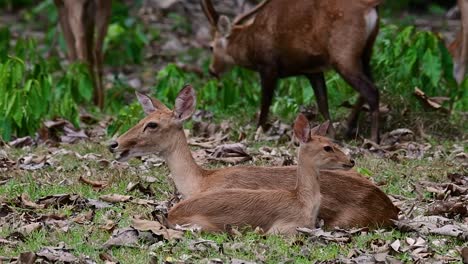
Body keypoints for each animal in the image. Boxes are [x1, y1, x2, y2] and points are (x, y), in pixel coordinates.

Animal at [166, 113, 352, 233]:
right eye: (327, 147)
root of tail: (170, 214)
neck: (302, 201)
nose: (351, 161)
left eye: (332, 142)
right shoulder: (283, 228)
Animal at [203, 0, 382, 142]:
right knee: (370, 87)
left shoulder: (268, 65)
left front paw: (257, 132)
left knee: (371, 90)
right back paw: (349, 128)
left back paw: (373, 140)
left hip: (343, 53)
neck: (250, 45)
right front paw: (330, 135)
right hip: (365, 52)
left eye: (211, 47)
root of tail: (369, 7)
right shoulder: (312, 69)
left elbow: (265, 103)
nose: (211, 70)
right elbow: (322, 103)